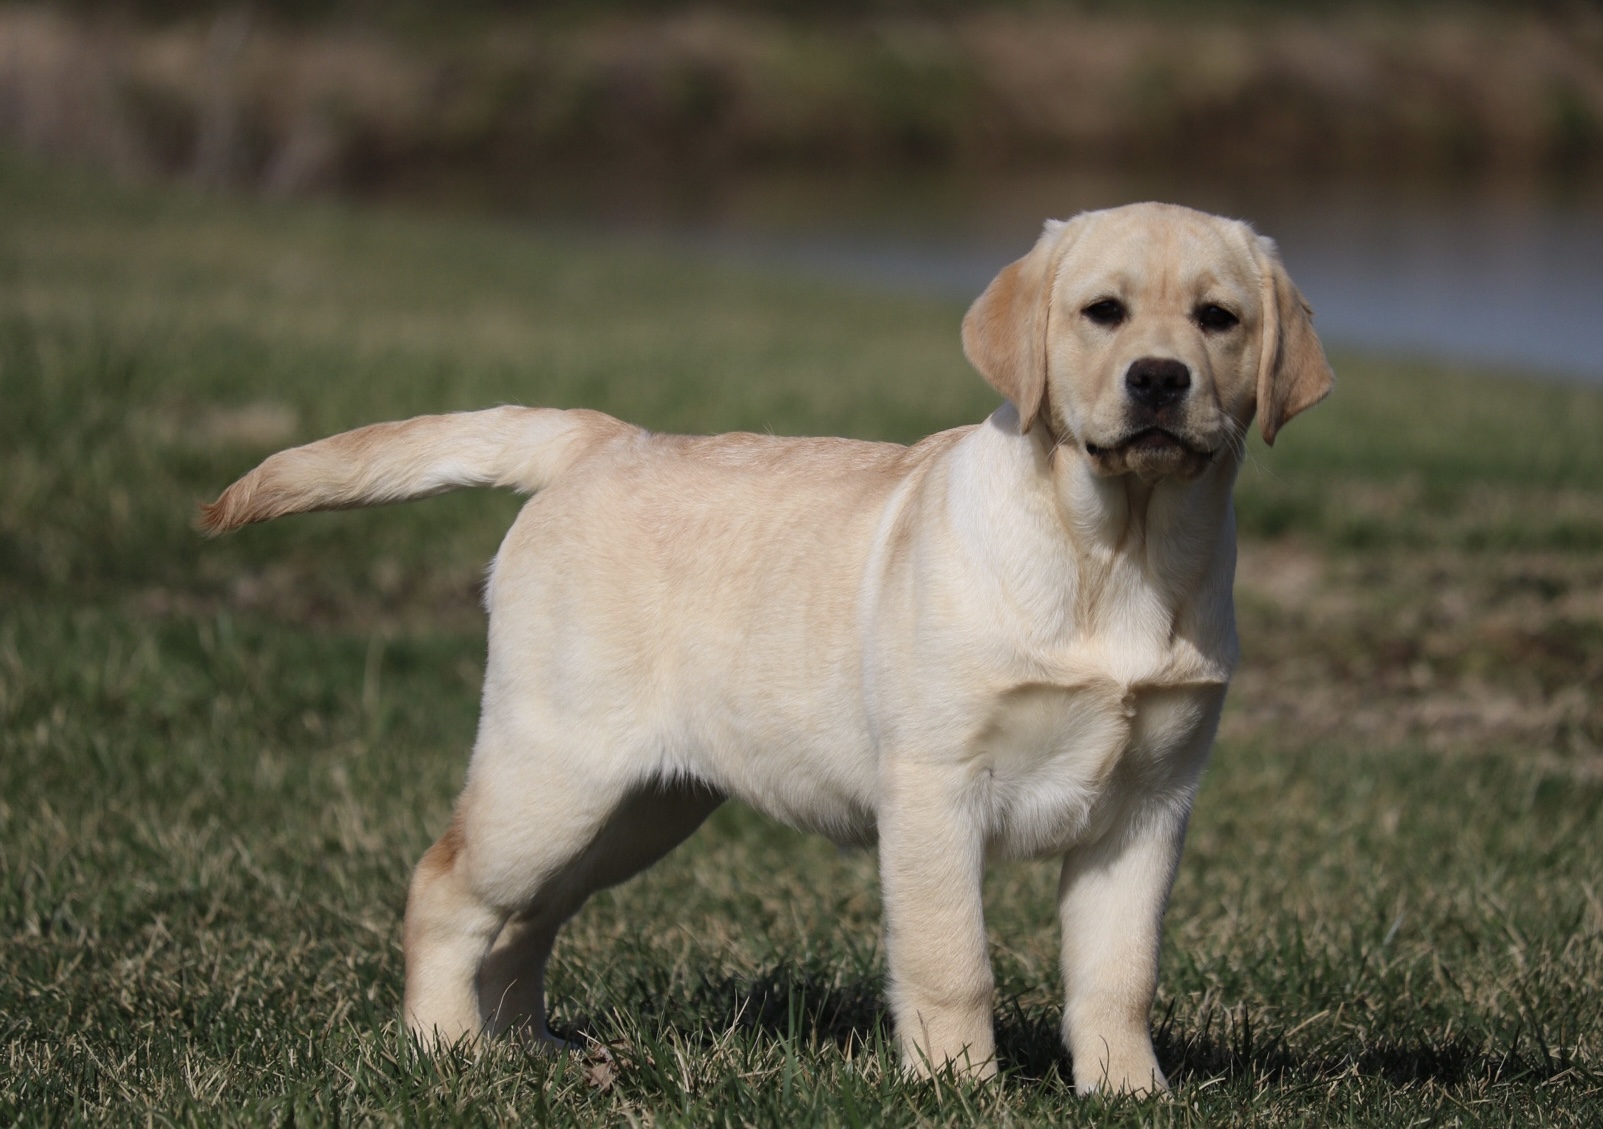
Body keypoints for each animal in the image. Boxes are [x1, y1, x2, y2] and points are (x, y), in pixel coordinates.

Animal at [200, 200, 1327, 1090]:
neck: (1116, 550)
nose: (1159, 379)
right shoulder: (935, 788)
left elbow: (1117, 976)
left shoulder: (1147, 808)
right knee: (446, 886)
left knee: (526, 920)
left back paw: (528, 1051)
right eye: (1102, 312)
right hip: (554, 772)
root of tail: (600, 439)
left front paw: (1131, 1092)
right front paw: (959, 1087)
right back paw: (446, 1049)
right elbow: (948, 959)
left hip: (641, 804)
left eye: (1218, 319)